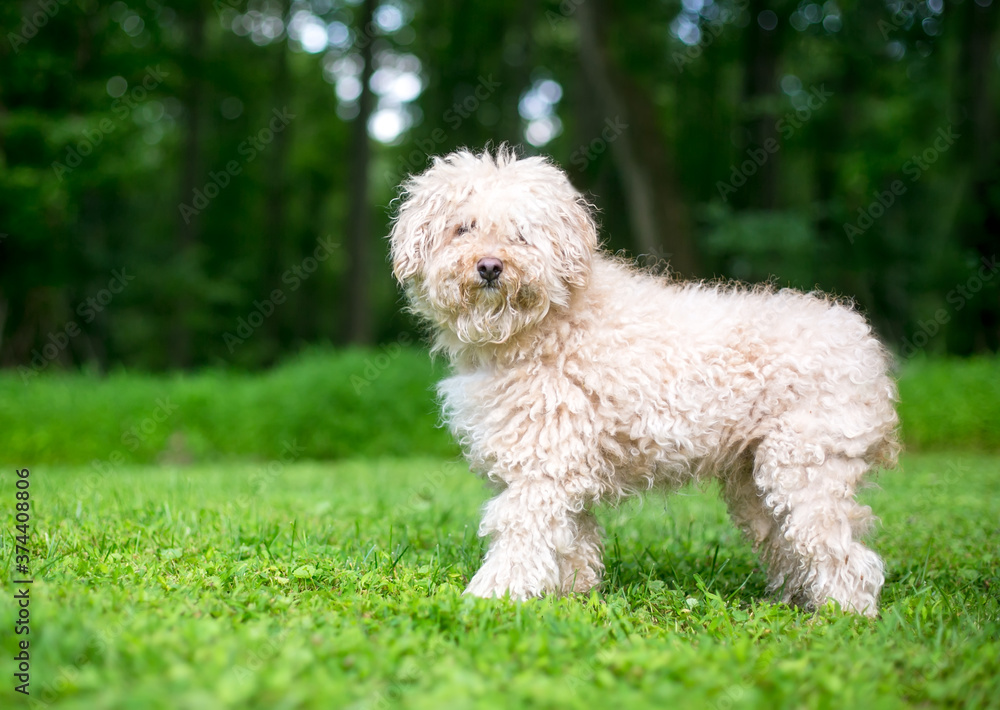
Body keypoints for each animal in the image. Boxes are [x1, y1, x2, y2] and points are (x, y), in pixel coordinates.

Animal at [388, 146, 900, 616]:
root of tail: (865, 348)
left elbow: (520, 532)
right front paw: (569, 595)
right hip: (756, 483)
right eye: (464, 228)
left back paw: (841, 616)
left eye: (522, 234)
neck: (544, 326)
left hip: (806, 468)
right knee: (789, 545)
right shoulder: (561, 467)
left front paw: (494, 596)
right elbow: (573, 541)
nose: (491, 266)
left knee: (847, 556)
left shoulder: (542, 466)